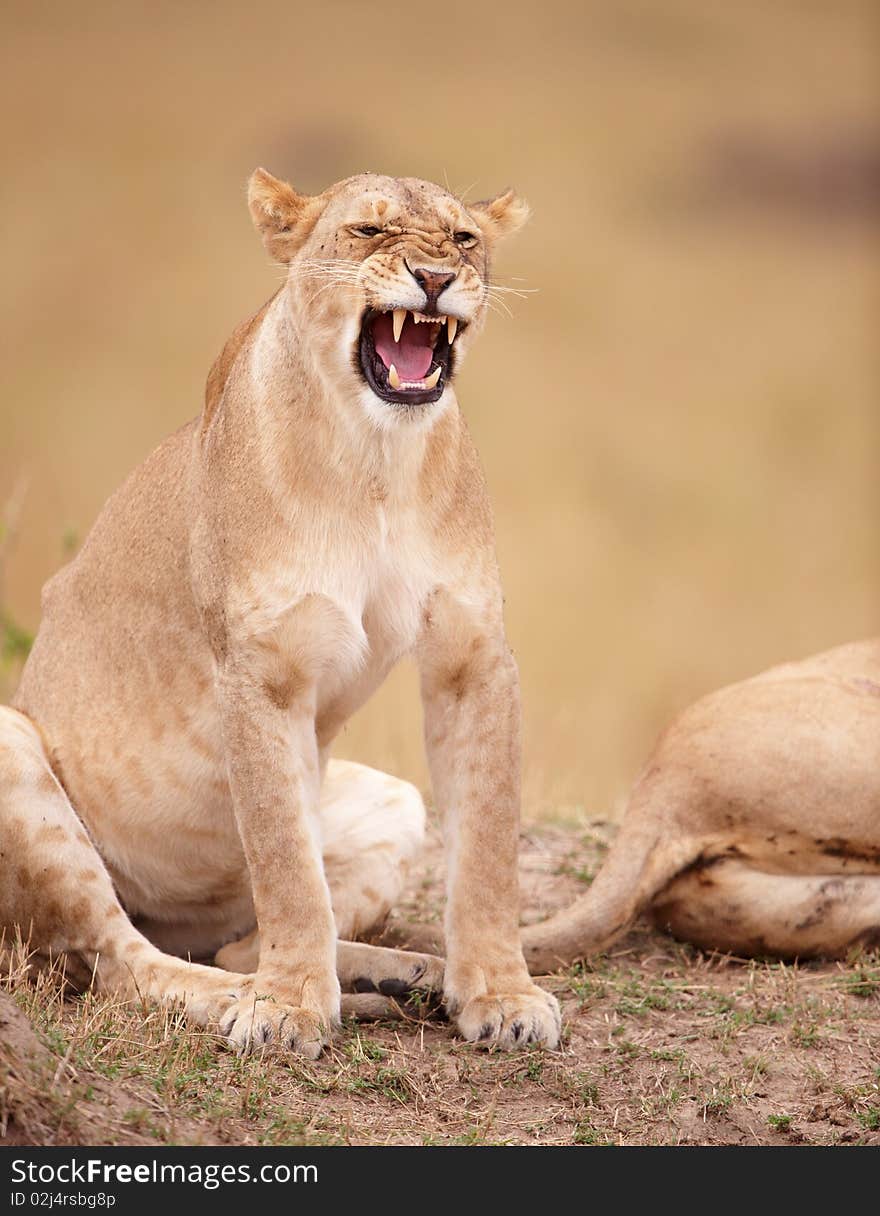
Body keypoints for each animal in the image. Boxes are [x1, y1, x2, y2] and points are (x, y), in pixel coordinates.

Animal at [1, 169, 563, 1055]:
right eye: (368, 230)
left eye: (463, 238)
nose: (435, 278)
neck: (378, 461)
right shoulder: (261, 671)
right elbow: (285, 860)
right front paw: (288, 1008)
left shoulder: (473, 656)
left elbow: (487, 847)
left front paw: (500, 995)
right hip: (16, 757)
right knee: (121, 960)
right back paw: (250, 995)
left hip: (393, 800)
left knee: (235, 941)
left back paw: (401, 977)